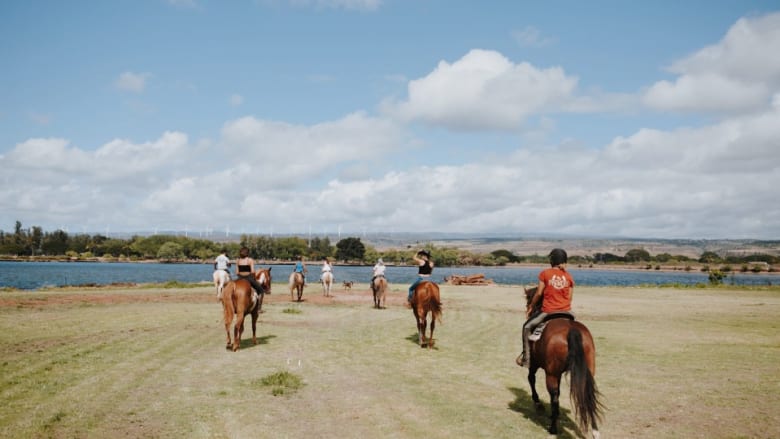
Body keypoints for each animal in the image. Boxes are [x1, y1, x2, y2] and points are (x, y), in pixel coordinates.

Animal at [524, 286, 604, 436]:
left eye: (528, 300)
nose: (528, 311)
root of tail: (571, 330)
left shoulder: (535, 363)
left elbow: (531, 378)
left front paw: (538, 404)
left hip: (551, 374)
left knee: (554, 395)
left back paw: (553, 428)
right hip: (586, 370)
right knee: (587, 395)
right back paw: (595, 430)